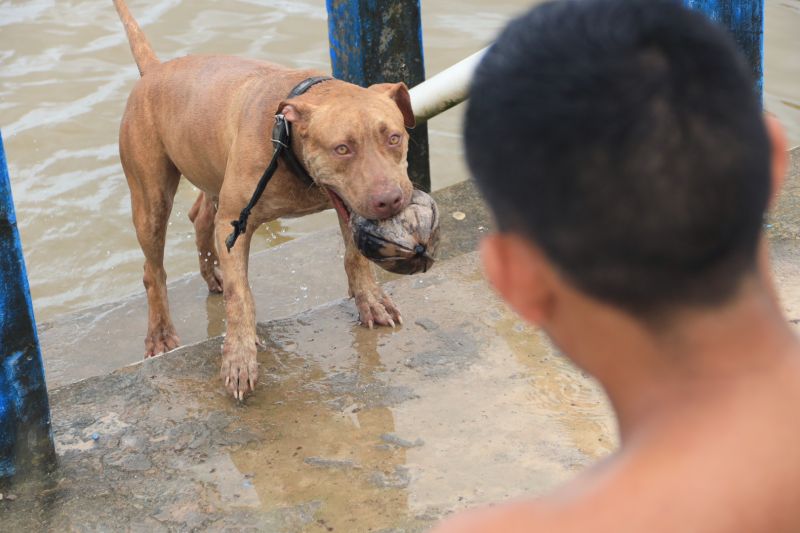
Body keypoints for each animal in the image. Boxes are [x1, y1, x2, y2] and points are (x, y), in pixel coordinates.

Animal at [115, 1, 416, 400]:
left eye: (394, 137)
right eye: (342, 149)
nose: (390, 200)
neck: (288, 143)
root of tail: (154, 70)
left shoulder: (346, 206)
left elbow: (355, 256)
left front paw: (370, 299)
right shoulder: (235, 222)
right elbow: (241, 296)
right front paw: (240, 356)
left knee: (200, 217)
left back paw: (212, 272)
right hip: (150, 200)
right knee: (154, 270)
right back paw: (161, 334)